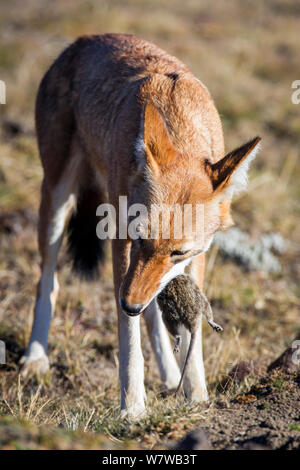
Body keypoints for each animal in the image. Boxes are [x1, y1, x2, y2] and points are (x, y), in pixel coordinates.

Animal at [20, 35, 260, 420]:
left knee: (152, 317)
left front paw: (196, 395)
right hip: (56, 202)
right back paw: (35, 359)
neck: (180, 121)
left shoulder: (193, 260)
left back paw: (170, 375)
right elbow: (128, 338)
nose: (130, 304)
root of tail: (81, 41)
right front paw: (132, 408)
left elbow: (187, 328)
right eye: (139, 236)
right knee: (48, 284)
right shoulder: (121, 241)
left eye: (178, 251)